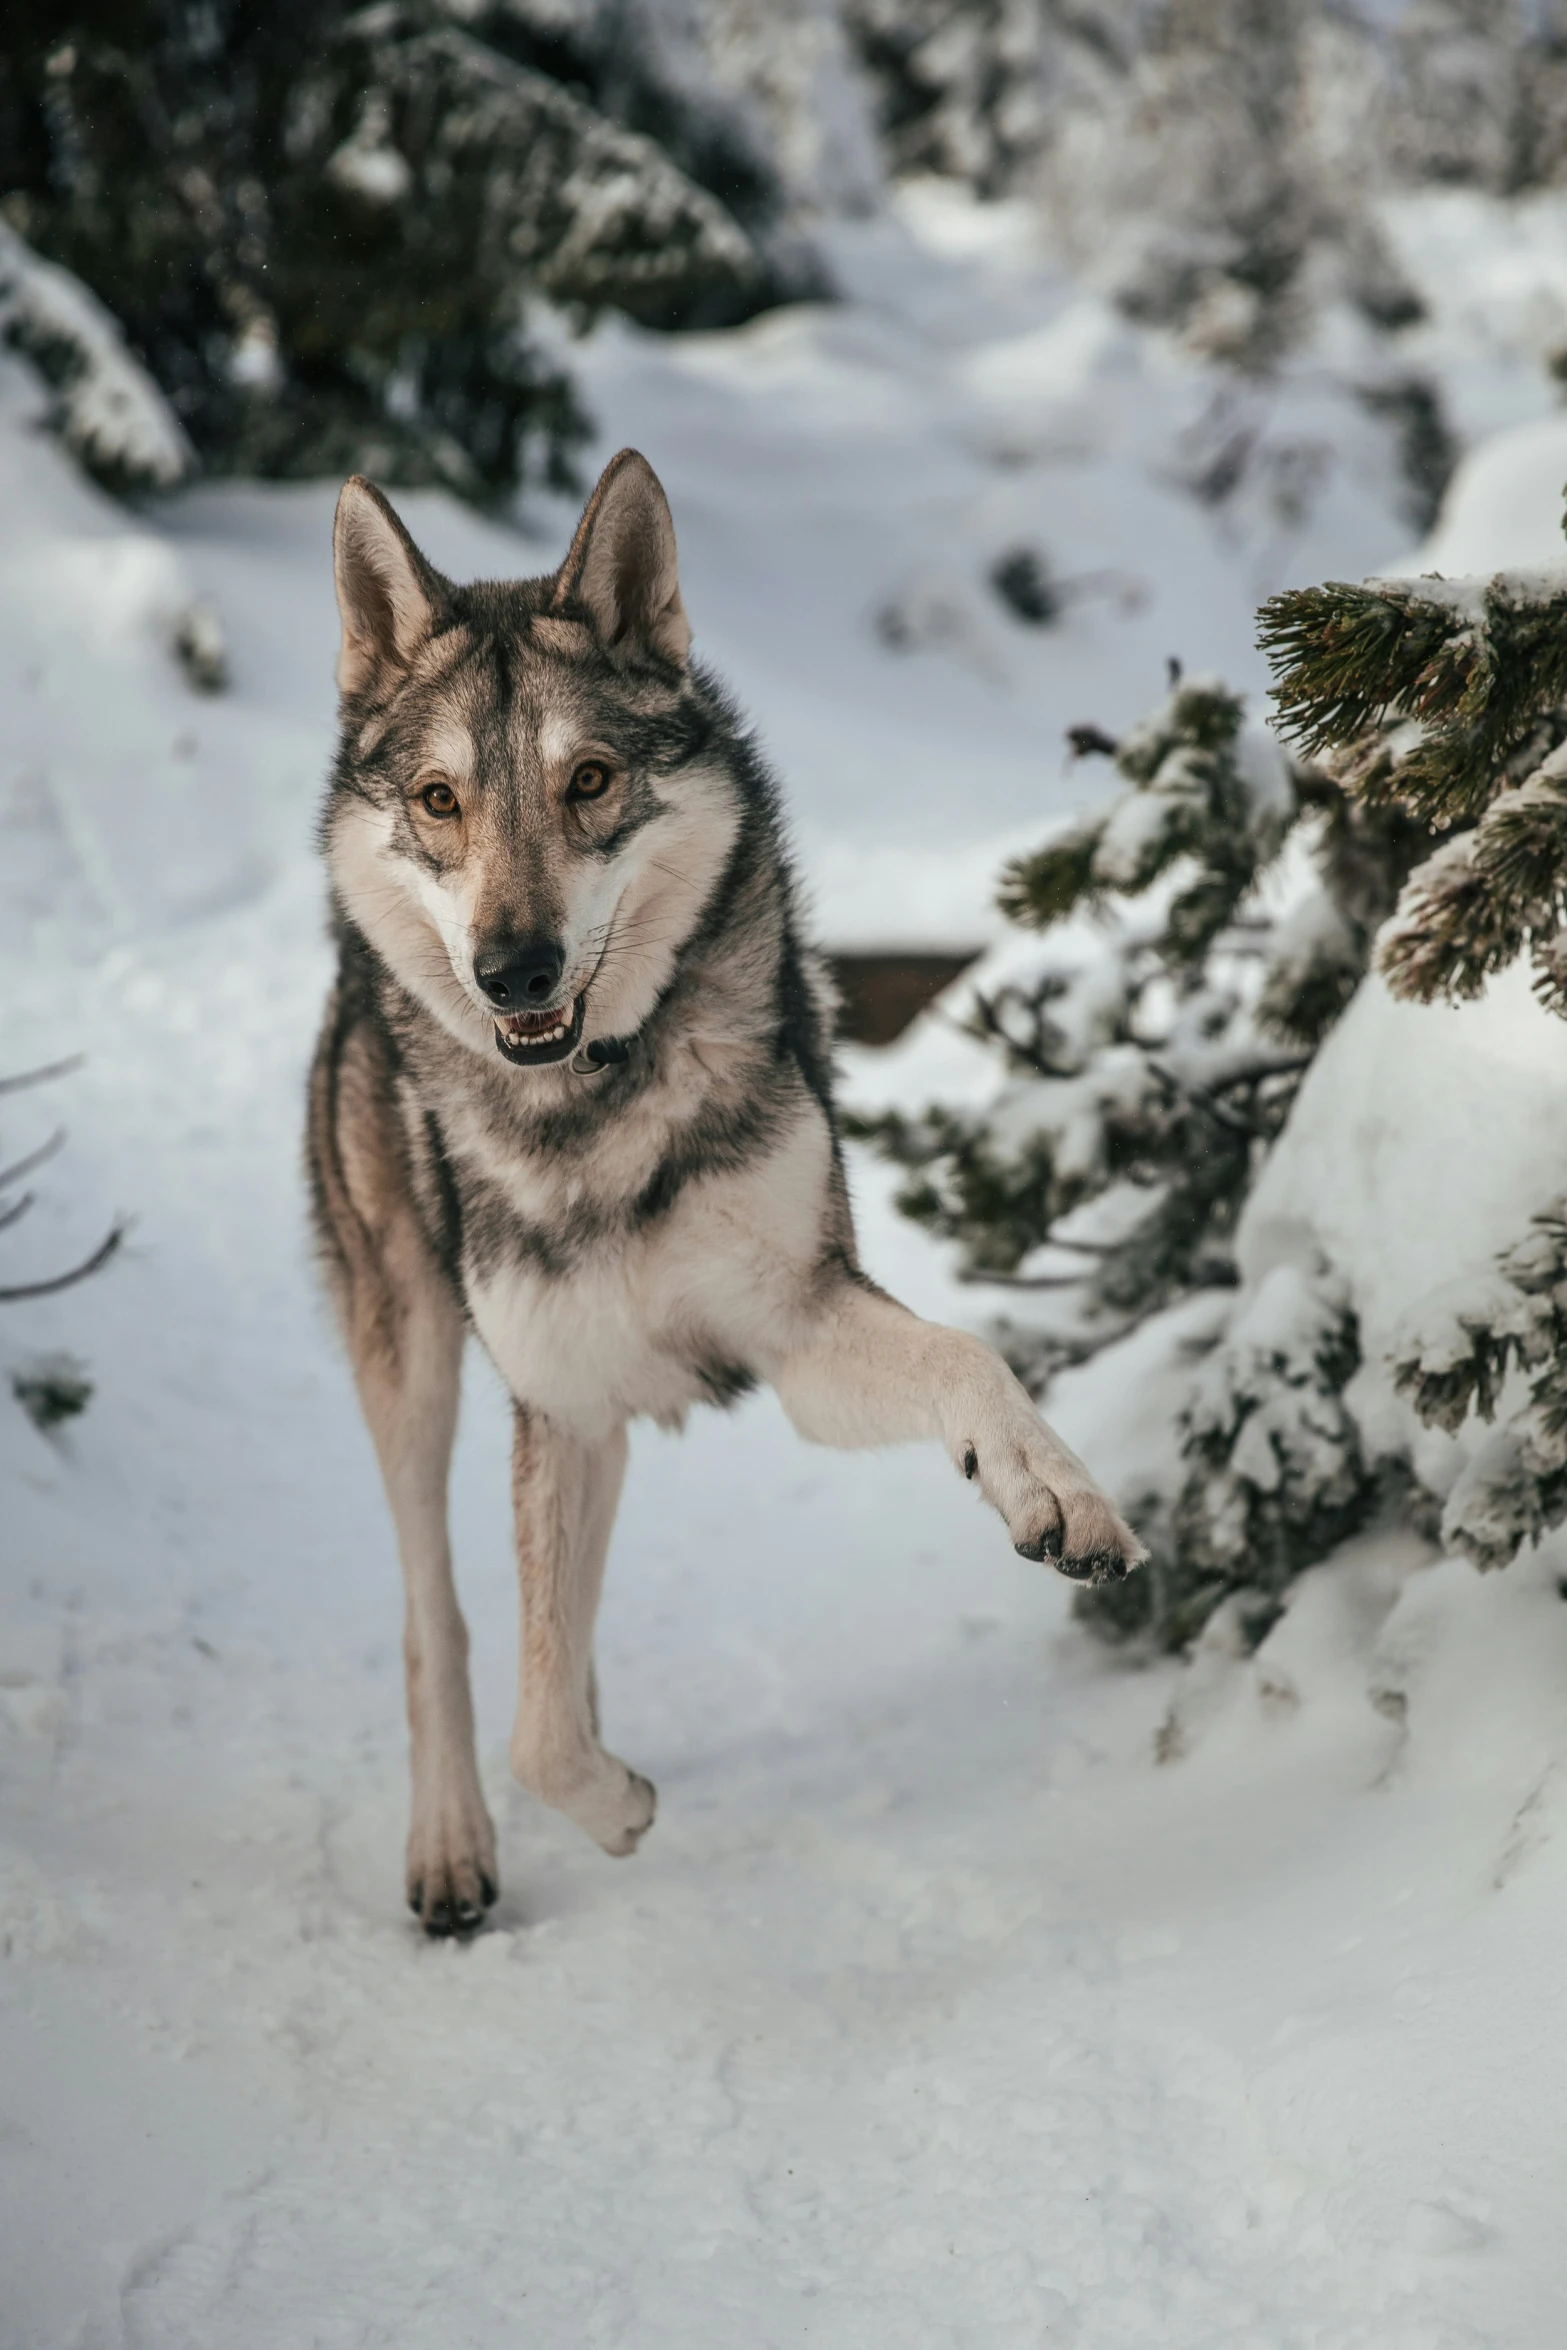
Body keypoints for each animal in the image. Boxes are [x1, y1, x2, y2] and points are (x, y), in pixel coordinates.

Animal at [310, 448, 1141, 1936]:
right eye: (441, 799)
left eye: (587, 780)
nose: (513, 971)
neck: (596, 1105)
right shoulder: (559, 1401)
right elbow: (534, 1735)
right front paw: (617, 1807)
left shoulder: (793, 1326)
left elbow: (971, 1360)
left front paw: (1055, 1492)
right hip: (408, 1363)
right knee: (436, 1615)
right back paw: (449, 1848)